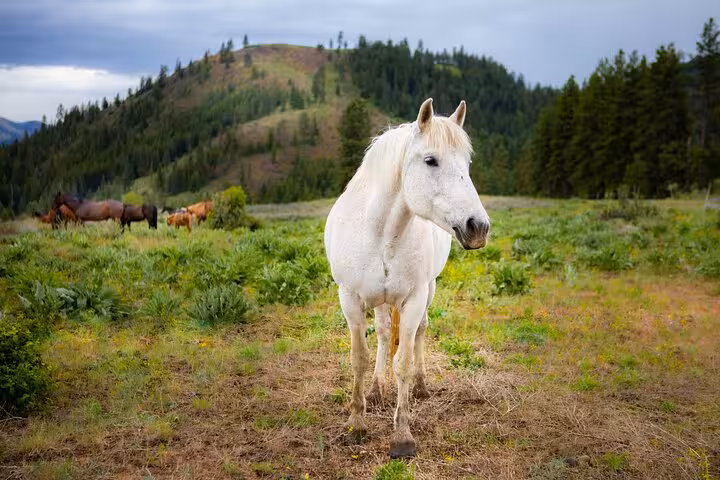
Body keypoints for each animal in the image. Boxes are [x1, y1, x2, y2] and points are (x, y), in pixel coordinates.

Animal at [324, 99, 490, 458]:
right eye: (430, 160)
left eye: (467, 163)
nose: (478, 228)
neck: (380, 233)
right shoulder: (350, 300)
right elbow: (359, 357)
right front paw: (357, 423)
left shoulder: (413, 300)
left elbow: (403, 361)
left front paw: (402, 435)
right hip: (379, 301)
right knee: (385, 333)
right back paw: (375, 390)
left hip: (429, 290)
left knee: (419, 335)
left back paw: (422, 386)